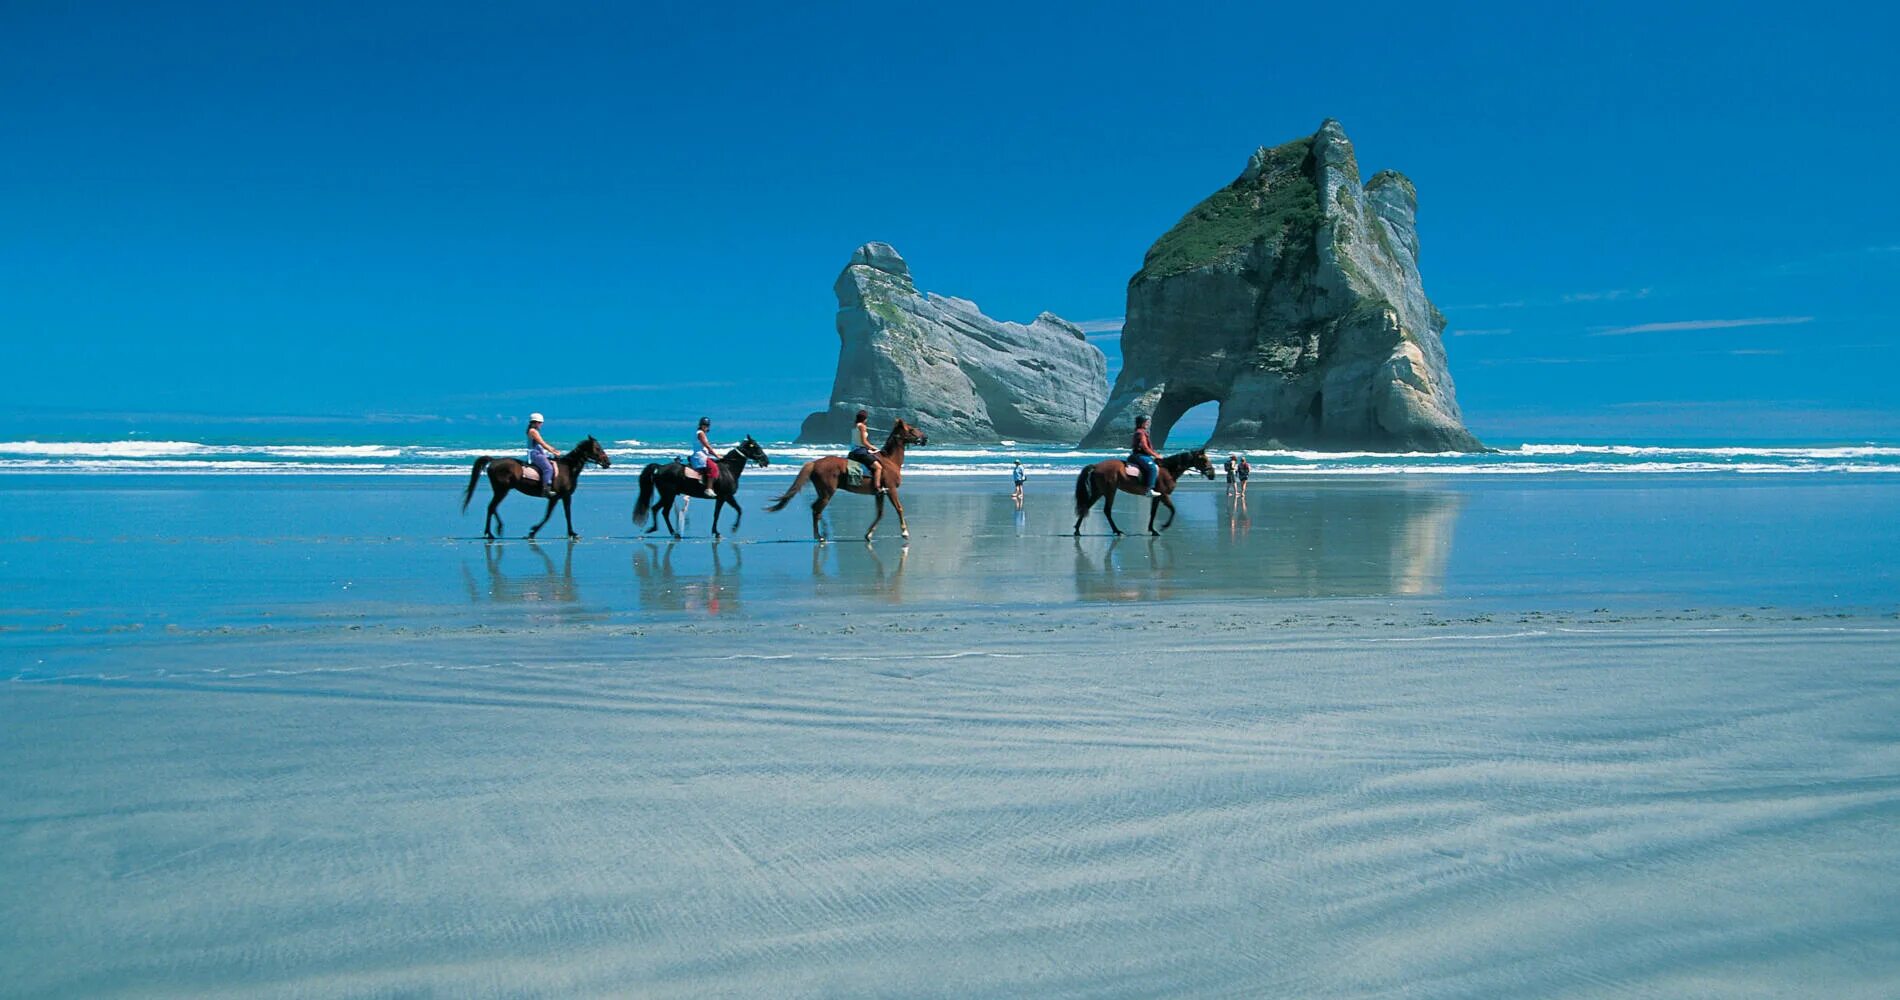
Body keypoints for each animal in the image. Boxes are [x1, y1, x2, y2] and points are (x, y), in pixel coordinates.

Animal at [457, 439, 611, 543]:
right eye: (597, 448)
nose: (608, 463)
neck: (568, 469)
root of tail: (494, 461)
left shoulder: (557, 497)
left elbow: (554, 514)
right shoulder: (563, 496)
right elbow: (558, 515)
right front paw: (571, 533)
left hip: (501, 491)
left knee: (492, 508)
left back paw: (496, 529)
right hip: (502, 491)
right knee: (491, 507)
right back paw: (490, 532)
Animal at [627, 437, 767, 539]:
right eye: (756, 447)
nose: (766, 461)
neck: (728, 469)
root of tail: (660, 468)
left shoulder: (725, 497)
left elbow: (731, 511)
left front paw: (724, 530)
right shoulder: (724, 496)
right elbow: (726, 512)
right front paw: (727, 530)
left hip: (667, 496)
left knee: (656, 509)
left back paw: (657, 529)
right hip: (669, 495)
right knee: (663, 512)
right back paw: (674, 533)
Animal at [763, 420, 927, 543]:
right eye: (912, 429)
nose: (925, 438)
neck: (889, 461)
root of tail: (815, 463)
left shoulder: (879, 493)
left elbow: (880, 513)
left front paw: (869, 534)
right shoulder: (891, 489)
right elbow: (899, 508)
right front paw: (904, 533)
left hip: (823, 493)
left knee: (815, 509)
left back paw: (823, 533)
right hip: (827, 493)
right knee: (817, 510)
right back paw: (820, 536)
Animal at [1071, 448, 1216, 536]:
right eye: (1203, 459)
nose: (1212, 474)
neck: (1168, 470)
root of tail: (1096, 466)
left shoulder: (1157, 497)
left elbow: (1153, 513)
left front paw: (1152, 529)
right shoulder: (1163, 495)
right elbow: (1172, 509)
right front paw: (1164, 526)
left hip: (1099, 492)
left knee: (1086, 507)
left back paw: (1077, 529)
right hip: (1110, 491)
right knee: (1106, 510)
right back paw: (1117, 531)